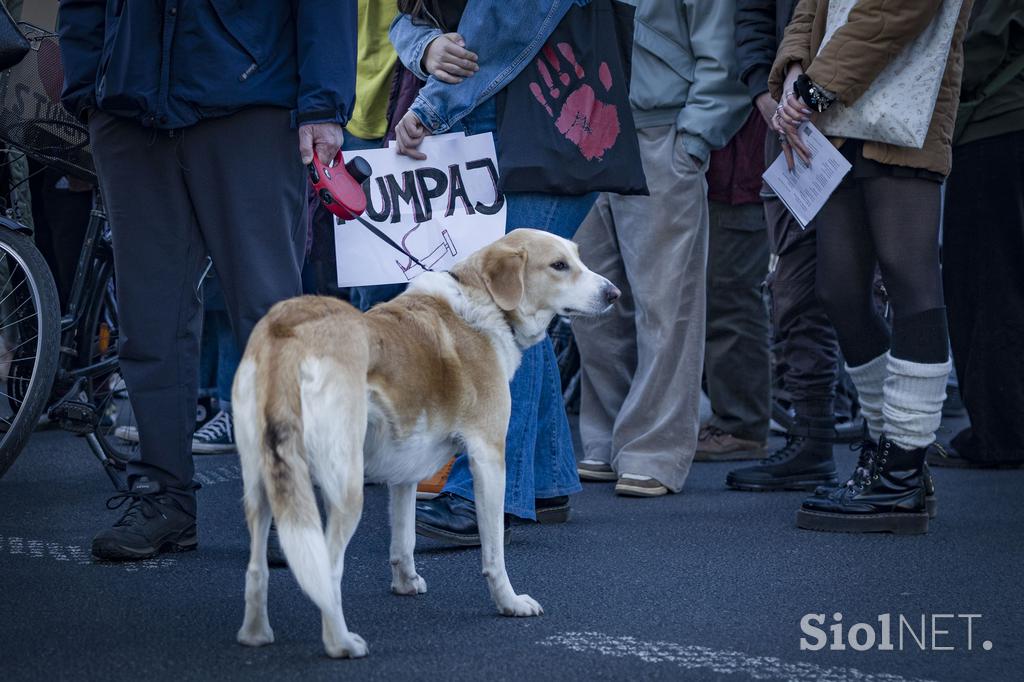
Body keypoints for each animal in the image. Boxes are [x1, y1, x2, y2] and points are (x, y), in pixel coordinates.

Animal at [231, 227, 614, 655]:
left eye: (578, 258)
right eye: (559, 266)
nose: (614, 293)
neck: (485, 304)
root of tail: (289, 332)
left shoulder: (405, 469)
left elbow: (404, 538)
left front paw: (405, 584)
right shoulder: (488, 456)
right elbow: (494, 553)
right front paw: (509, 603)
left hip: (263, 485)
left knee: (256, 568)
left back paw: (255, 634)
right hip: (344, 488)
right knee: (326, 570)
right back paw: (341, 643)